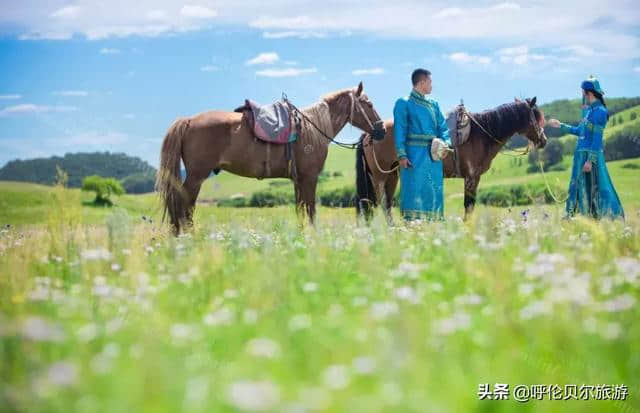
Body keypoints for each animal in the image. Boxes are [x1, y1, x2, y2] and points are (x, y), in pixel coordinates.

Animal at [156, 82, 384, 233]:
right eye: (369, 104)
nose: (381, 130)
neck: (312, 128)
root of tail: (188, 120)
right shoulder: (310, 178)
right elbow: (310, 209)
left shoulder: (299, 180)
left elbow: (301, 208)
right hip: (196, 177)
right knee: (184, 205)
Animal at [356, 96, 544, 220]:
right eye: (537, 117)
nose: (543, 140)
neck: (482, 134)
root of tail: (370, 133)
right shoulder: (472, 177)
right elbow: (469, 205)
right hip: (380, 177)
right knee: (382, 204)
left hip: (392, 175)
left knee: (386, 205)